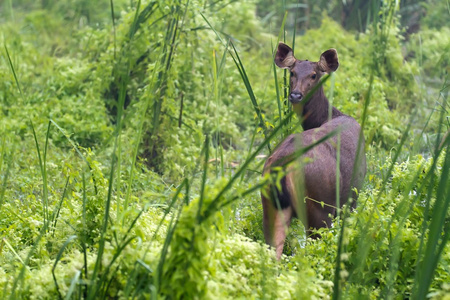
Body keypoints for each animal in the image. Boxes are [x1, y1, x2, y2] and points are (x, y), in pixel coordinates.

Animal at [262, 42, 368, 260]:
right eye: (292, 72)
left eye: (313, 75)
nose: (295, 95)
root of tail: (282, 166)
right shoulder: (352, 197)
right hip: (319, 209)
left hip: (271, 205)